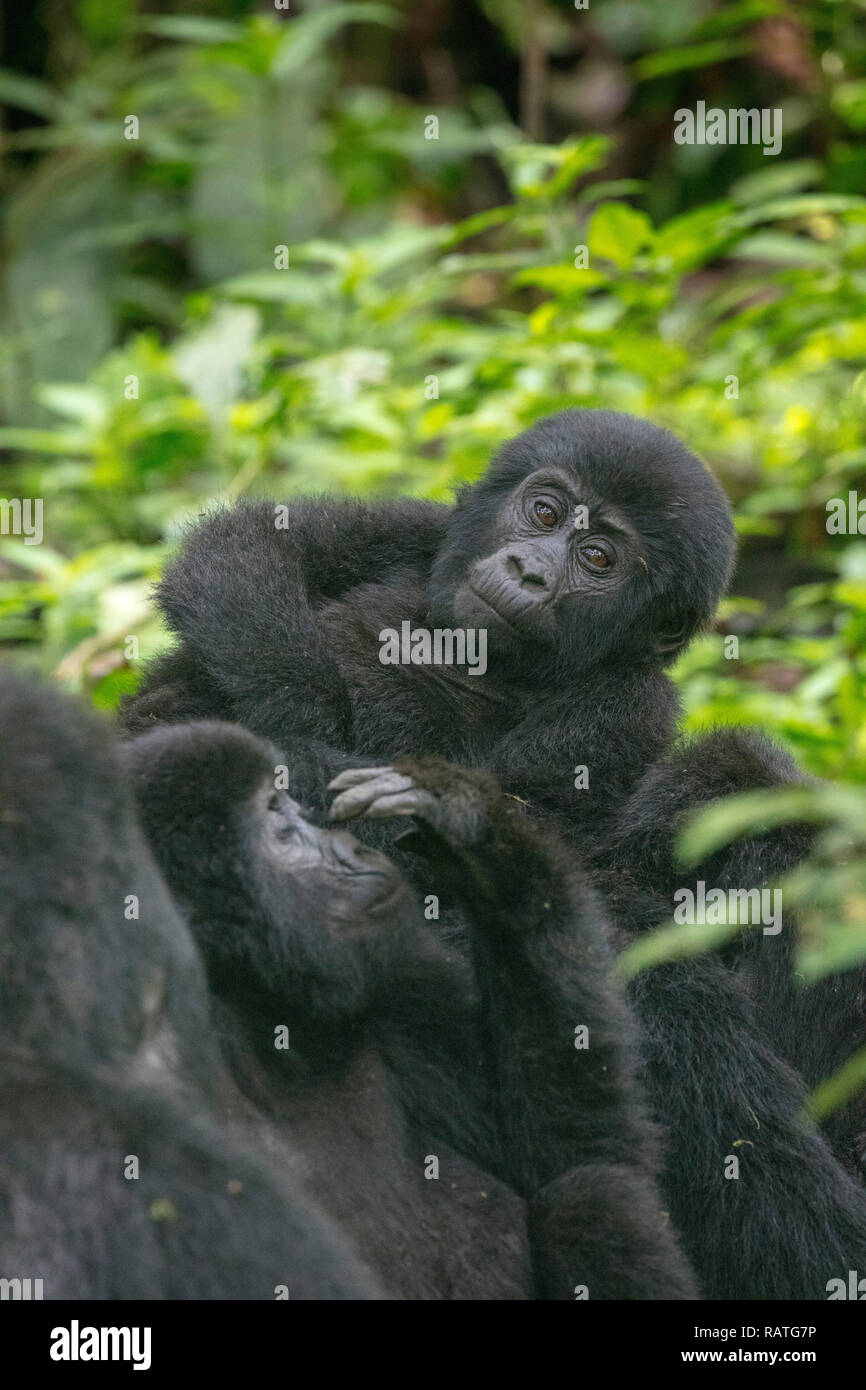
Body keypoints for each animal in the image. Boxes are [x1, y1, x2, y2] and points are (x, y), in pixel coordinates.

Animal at [127, 722, 697, 1295]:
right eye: (278, 824)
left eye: (290, 804)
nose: (347, 847)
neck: (260, 1014)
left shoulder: (395, 969)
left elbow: (575, 1147)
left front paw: (479, 836)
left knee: (591, 1194)